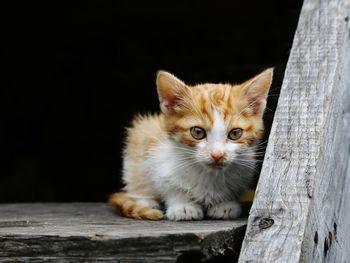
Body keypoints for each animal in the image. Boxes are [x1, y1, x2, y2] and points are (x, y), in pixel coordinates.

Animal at [108, 69, 272, 222]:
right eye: (197, 132)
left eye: (235, 133)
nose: (217, 155)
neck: (208, 175)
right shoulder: (157, 155)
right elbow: (168, 184)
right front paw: (182, 205)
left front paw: (225, 204)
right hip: (141, 137)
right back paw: (145, 200)